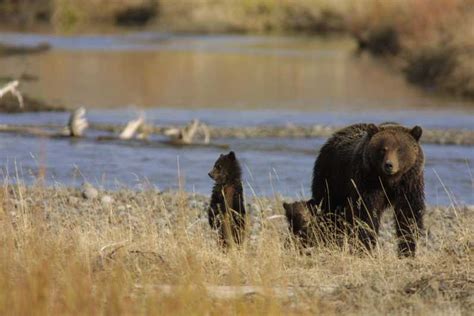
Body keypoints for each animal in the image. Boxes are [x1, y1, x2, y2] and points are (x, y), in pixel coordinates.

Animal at [312, 123, 426, 256]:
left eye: (399, 149)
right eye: (383, 149)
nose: (389, 165)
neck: (389, 181)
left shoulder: (409, 183)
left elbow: (408, 214)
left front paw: (407, 249)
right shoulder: (367, 181)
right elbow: (366, 213)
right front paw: (365, 245)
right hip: (331, 178)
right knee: (328, 208)